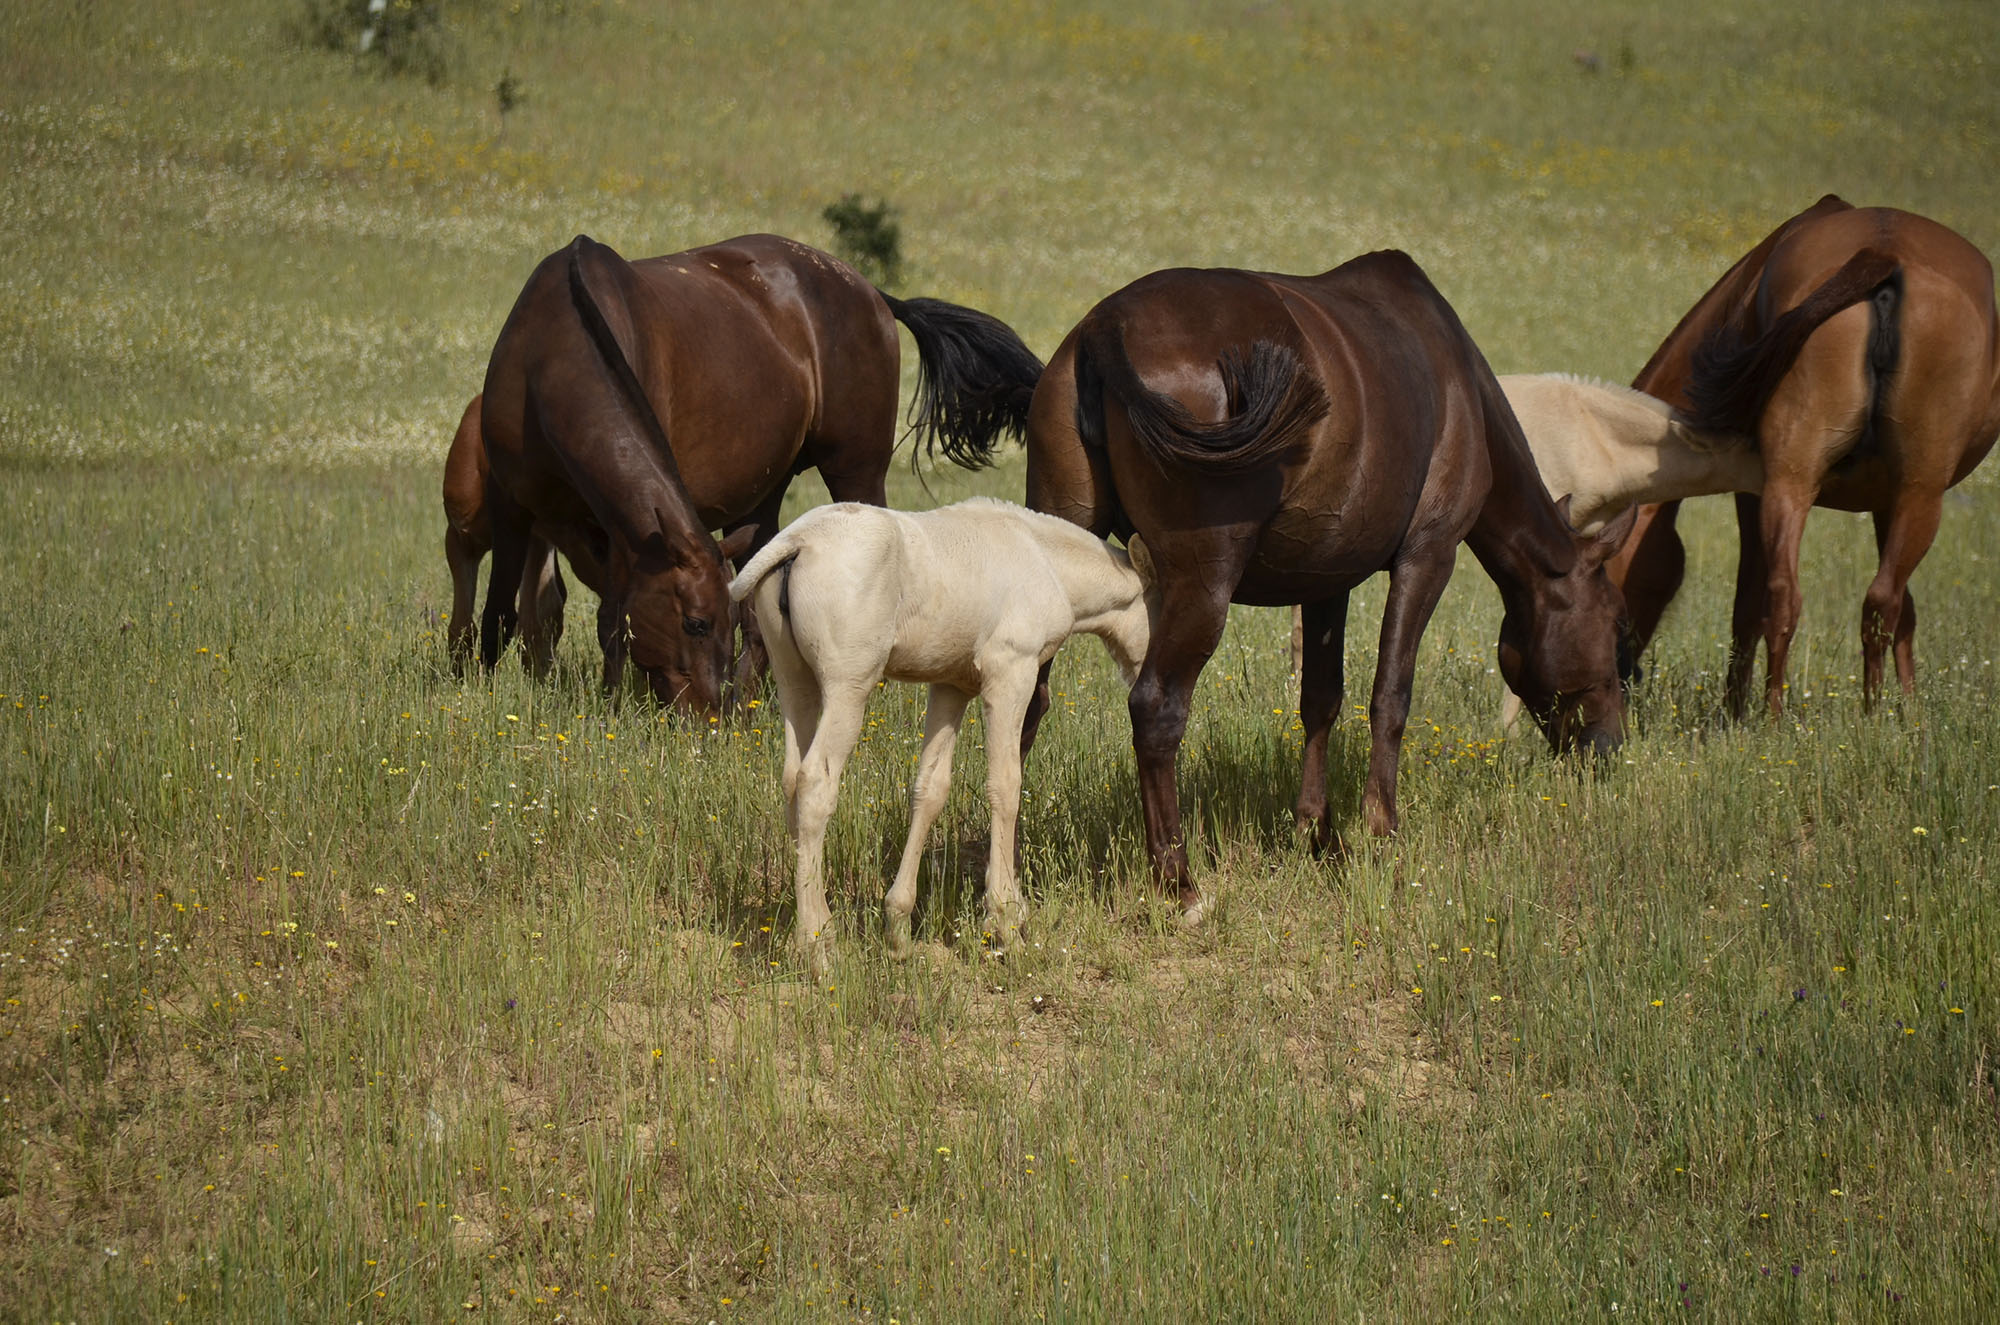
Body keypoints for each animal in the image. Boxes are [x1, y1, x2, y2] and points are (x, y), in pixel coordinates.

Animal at [478, 236, 1048, 716]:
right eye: (696, 623)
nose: (707, 714)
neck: (554, 354)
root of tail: (870, 292)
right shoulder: (522, 512)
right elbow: (511, 613)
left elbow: (611, 617)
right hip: (760, 501)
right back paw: (753, 697)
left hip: (855, 471)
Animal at [728, 498, 1152, 976]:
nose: (1145, 673)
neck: (1045, 559)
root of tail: (799, 540)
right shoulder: (1011, 673)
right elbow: (1006, 786)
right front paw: (1006, 921)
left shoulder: (951, 686)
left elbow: (930, 790)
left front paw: (898, 928)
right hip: (847, 689)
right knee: (815, 783)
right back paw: (817, 946)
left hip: (792, 681)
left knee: (790, 783)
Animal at [1024, 250, 1632, 912]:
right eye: (1613, 630)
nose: (1612, 746)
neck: (1456, 378)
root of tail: (1106, 327)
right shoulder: (1429, 557)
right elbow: (1391, 695)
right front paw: (1380, 831)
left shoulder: (1324, 579)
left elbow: (1321, 699)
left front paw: (1318, 833)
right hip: (1201, 586)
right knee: (1157, 708)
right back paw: (1180, 882)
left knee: (1026, 703)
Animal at [1608, 197, 2000, 716]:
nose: (1616, 677)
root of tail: (1882, 254)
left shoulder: (1858, 499)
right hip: (1901, 491)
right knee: (1856, 601)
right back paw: (1847, 717)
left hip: (1813, 485)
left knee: (1814, 599)